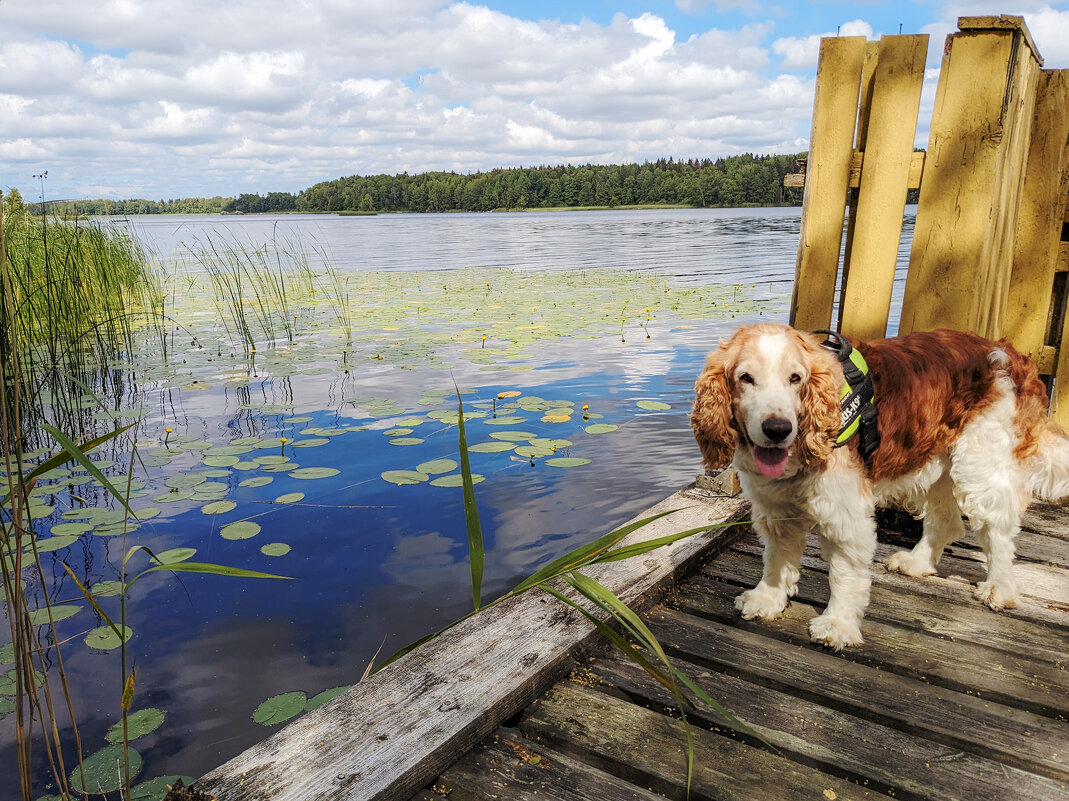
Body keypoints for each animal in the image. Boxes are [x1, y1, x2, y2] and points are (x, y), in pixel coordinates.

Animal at [692, 320, 1069, 645]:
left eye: (795, 378)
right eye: (746, 378)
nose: (777, 429)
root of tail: (1009, 353)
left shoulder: (845, 515)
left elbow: (844, 575)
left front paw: (837, 625)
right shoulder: (776, 507)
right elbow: (776, 557)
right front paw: (767, 598)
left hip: (980, 464)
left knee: (997, 529)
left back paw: (1000, 589)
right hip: (939, 463)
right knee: (946, 521)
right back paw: (918, 563)